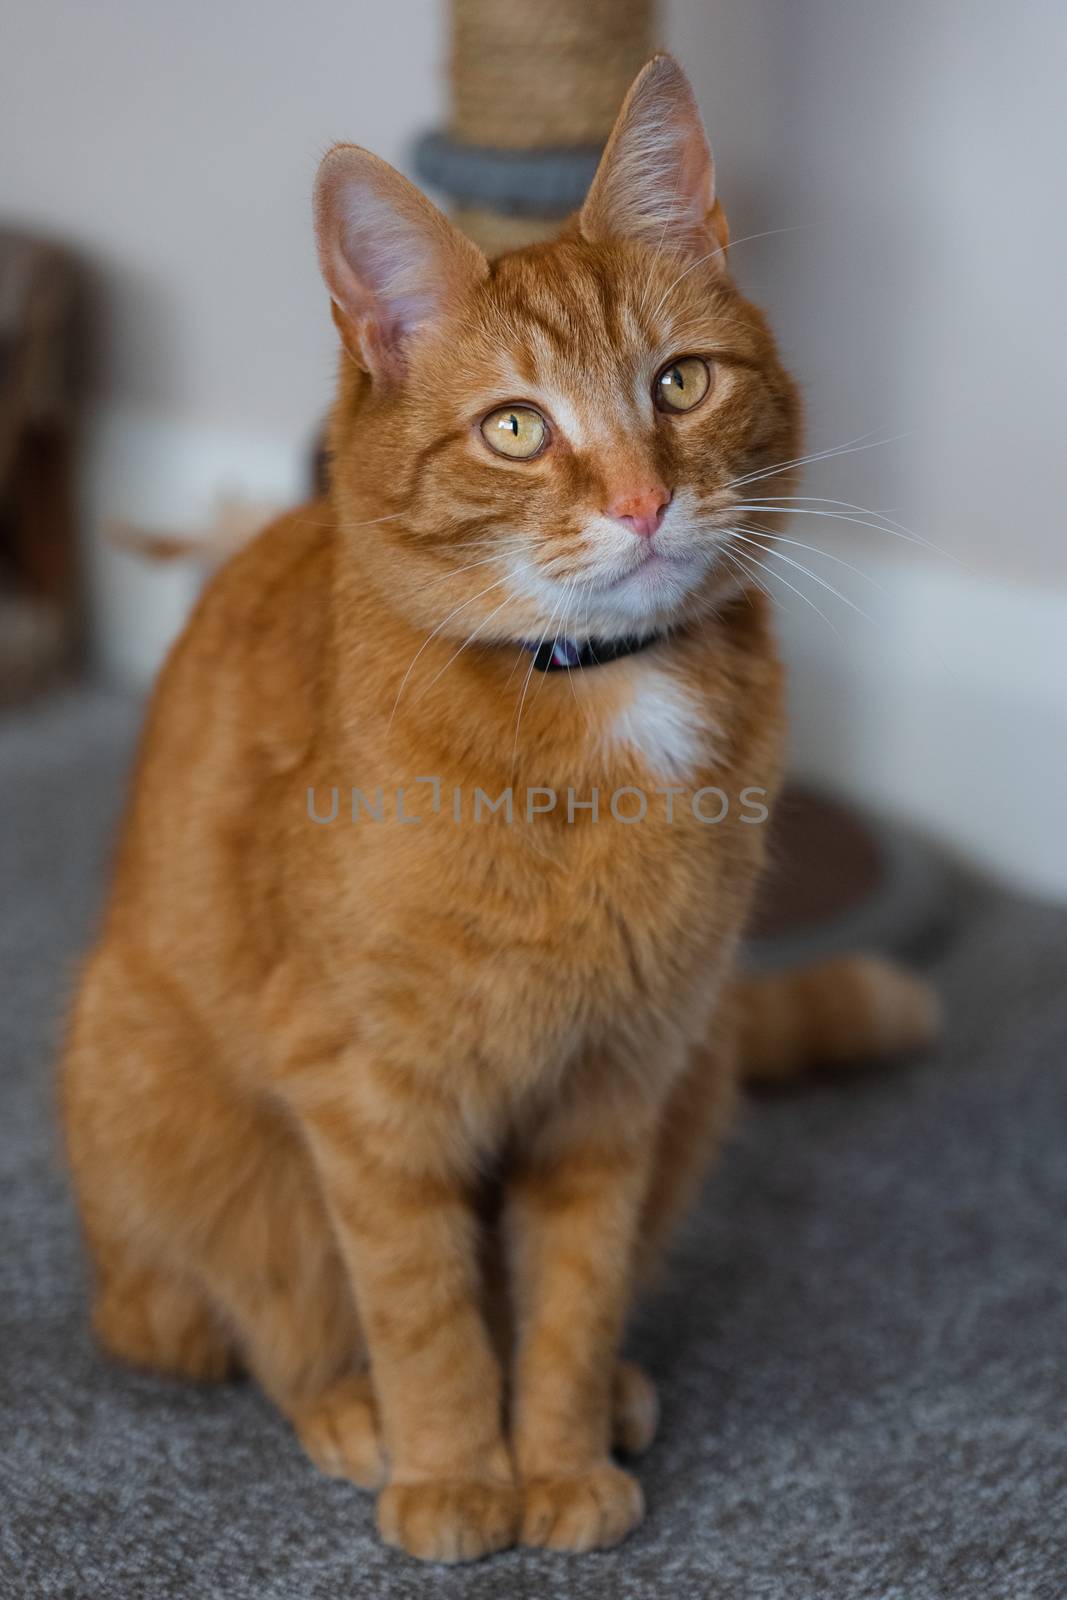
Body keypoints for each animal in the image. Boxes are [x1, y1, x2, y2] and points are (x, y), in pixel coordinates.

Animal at [62, 53, 940, 1561]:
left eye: (679, 383)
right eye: (516, 428)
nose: (643, 502)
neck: (593, 700)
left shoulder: (611, 1093)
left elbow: (571, 1296)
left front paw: (559, 1451)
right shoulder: (373, 1102)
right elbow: (422, 1309)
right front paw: (454, 1469)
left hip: (701, 1066)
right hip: (166, 1107)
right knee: (222, 1311)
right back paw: (344, 1406)